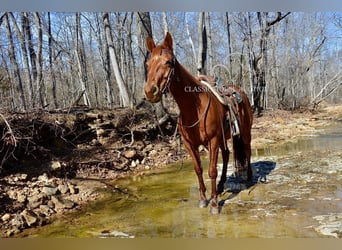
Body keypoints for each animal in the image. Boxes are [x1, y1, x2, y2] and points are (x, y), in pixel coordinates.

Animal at [143, 32, 252, 214]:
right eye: (147, 63)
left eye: (168, 62)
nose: (150, 91)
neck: (193, 108)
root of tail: (240, 92)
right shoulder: (190, 145)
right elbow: (199, 169)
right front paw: (203, 199)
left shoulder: (213, 140)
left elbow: (212, 171)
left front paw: (214, 204)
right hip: (223, 138)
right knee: (227, 153)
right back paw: (221, 185)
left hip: (244, 133)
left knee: (247, 151)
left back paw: (249, 178)